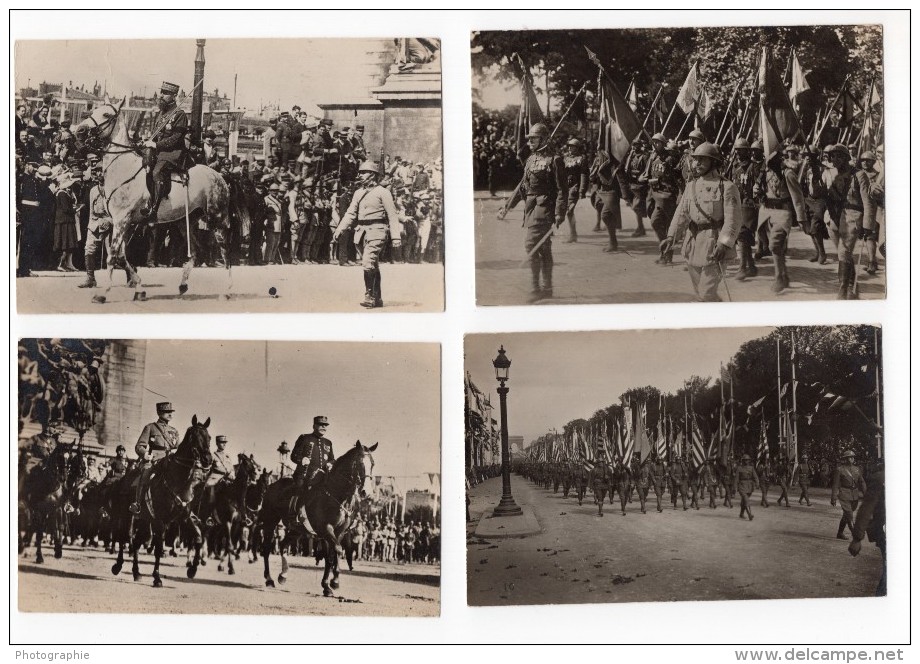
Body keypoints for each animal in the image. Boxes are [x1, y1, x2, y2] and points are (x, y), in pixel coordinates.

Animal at [76, 96, 234, 304]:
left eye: (107, 114)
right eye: (94, 110)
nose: (79, 131)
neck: (122, 167)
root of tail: (219, 176)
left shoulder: (122, 221)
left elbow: (113, 257)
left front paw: (102, 294)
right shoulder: (122, 223)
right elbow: (121, 256)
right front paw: (139, 289)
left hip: (217, 219)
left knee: (226, 251)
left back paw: (227, 291)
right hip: (185, 222)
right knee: (195, 252)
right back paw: (183, 285)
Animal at [108, 418, 214, 588]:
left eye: (209, 437)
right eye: (194, 437)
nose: (207, 460)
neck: (177, 479)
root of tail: (124, 478)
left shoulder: (183, 518)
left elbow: (198, 538)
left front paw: (192, 569)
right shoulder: (160, 521)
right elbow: (158, 548)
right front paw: (157, 578)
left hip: (144, 519)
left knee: (136, 542)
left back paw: (136, 572)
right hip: (126, 515)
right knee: (123, 536)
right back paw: (117, 565)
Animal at [256, 440, 376, 596]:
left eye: (372, 464)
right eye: (360, 463)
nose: (366, 492)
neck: (336, 494)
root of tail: (272, 485)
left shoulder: (338, 532)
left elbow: (331, 556)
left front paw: (329, 584)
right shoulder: (326, 529)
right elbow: (336, 551)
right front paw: (332, 582)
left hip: (297, 529)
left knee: (283, 545)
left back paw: (283, 575)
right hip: (270, 521)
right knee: (266, 548)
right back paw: (269, 579)